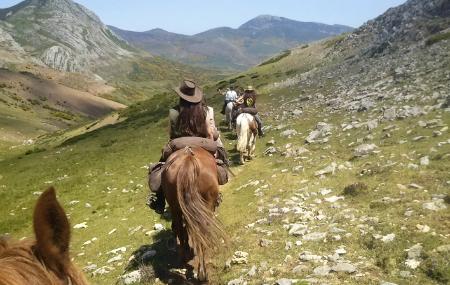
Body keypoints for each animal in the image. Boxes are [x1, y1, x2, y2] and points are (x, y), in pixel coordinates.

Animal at [162, 146, 225, 282]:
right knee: (201, 232)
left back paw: (184, 258)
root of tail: (188, 159)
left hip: (176, 207)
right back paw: (203, 273)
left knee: (180, 230)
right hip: (206, 206)